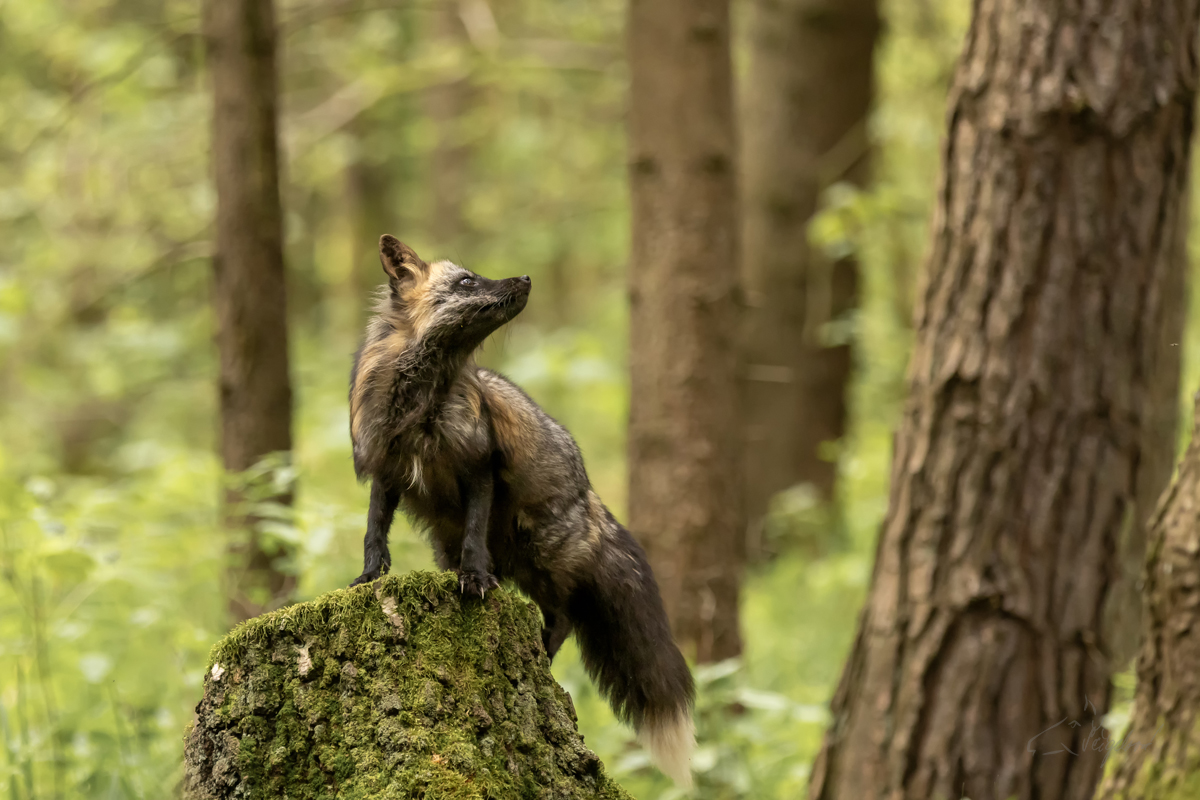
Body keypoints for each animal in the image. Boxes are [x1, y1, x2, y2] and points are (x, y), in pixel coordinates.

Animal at [348, 235, 700, 786]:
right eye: (466, 281)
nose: (526, 278)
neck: (424, 406)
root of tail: (592, 498)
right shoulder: (386, 468)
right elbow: (373, 532)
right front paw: (368, 578)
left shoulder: (478, 465)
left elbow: (475, 538)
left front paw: (474, 579)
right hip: (458, 548)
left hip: (541, 556)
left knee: (565, 616)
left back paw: (541, 653)